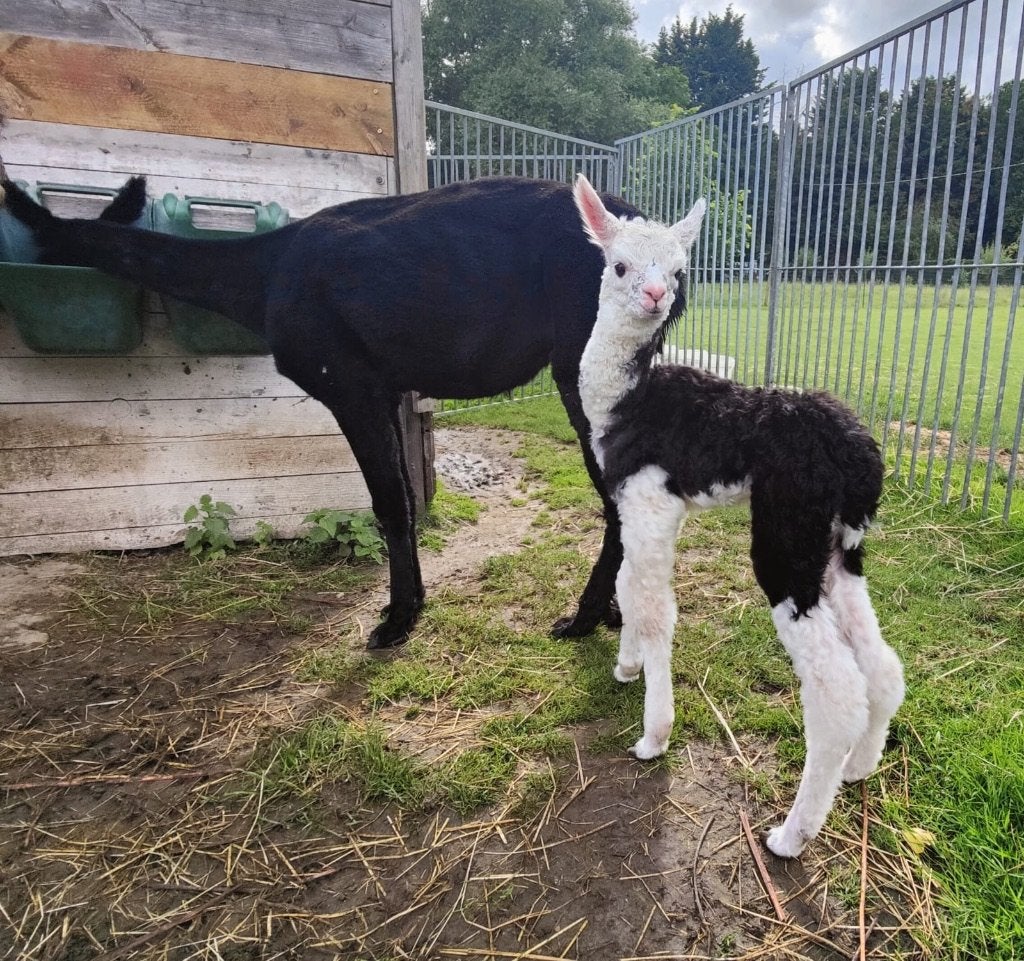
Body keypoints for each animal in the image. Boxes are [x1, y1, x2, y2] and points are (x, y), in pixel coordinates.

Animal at [0, 175, 660, 649]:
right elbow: (402, 494)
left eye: (45, 245)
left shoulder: (348, 383)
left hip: (583, 363)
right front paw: (409, 606)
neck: (264, 276)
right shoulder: (386, 388)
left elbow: (389, 503)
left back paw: (583, 617)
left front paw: (396, 621)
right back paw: (612, 610)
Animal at [572, 174, 905, 858]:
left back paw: (792, 834)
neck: (629, 398)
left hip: (785, 535)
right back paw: (859, 768)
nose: (655, 295)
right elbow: (629, 587)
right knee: (881, 665)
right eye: (619, 265)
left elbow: (653, 607)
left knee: (836, 690)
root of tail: (858, 451)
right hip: (837, 545)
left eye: (678, 270)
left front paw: (654, 735)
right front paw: (625, 666)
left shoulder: (648, 502)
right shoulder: (641, 508)